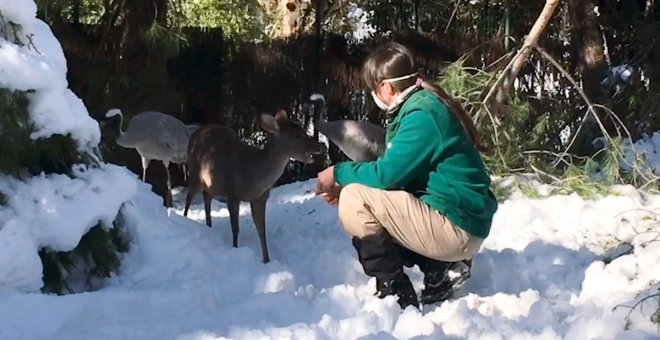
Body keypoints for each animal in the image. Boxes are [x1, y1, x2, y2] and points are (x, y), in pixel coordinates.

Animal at [184, 109, 320, 262]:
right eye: (297, 136)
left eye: (303, 130)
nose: (319, 147)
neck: (254, 178)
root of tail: (196, 132)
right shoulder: (233, 194)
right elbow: (235, 228)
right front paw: (235, 248)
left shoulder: (260, 198)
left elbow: (262, 230)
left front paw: (266, 260)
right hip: (194, 172)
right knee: (189, 198)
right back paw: (185, 219)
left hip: (211, 183)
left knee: (206, 196)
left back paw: (209, 226)